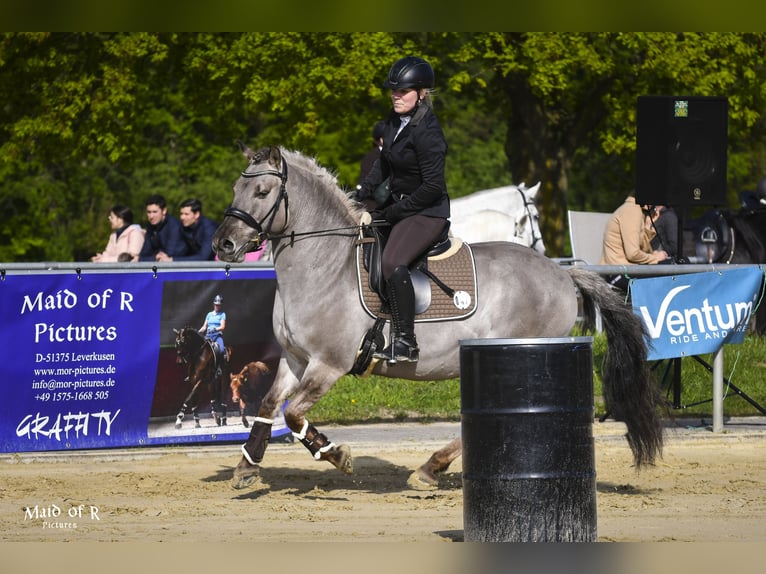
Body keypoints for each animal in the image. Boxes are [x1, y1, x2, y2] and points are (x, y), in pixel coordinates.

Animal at [212, 144, 664, 490]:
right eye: (236, 187)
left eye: (263, 191)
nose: (223, 244)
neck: (323, 265)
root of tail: (560, 272)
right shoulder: (294, 360)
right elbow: (269, 406)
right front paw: (246, 467)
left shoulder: (329, 365)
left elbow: (293, 414)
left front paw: (336, 454)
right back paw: (432, 468)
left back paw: (430, 470)